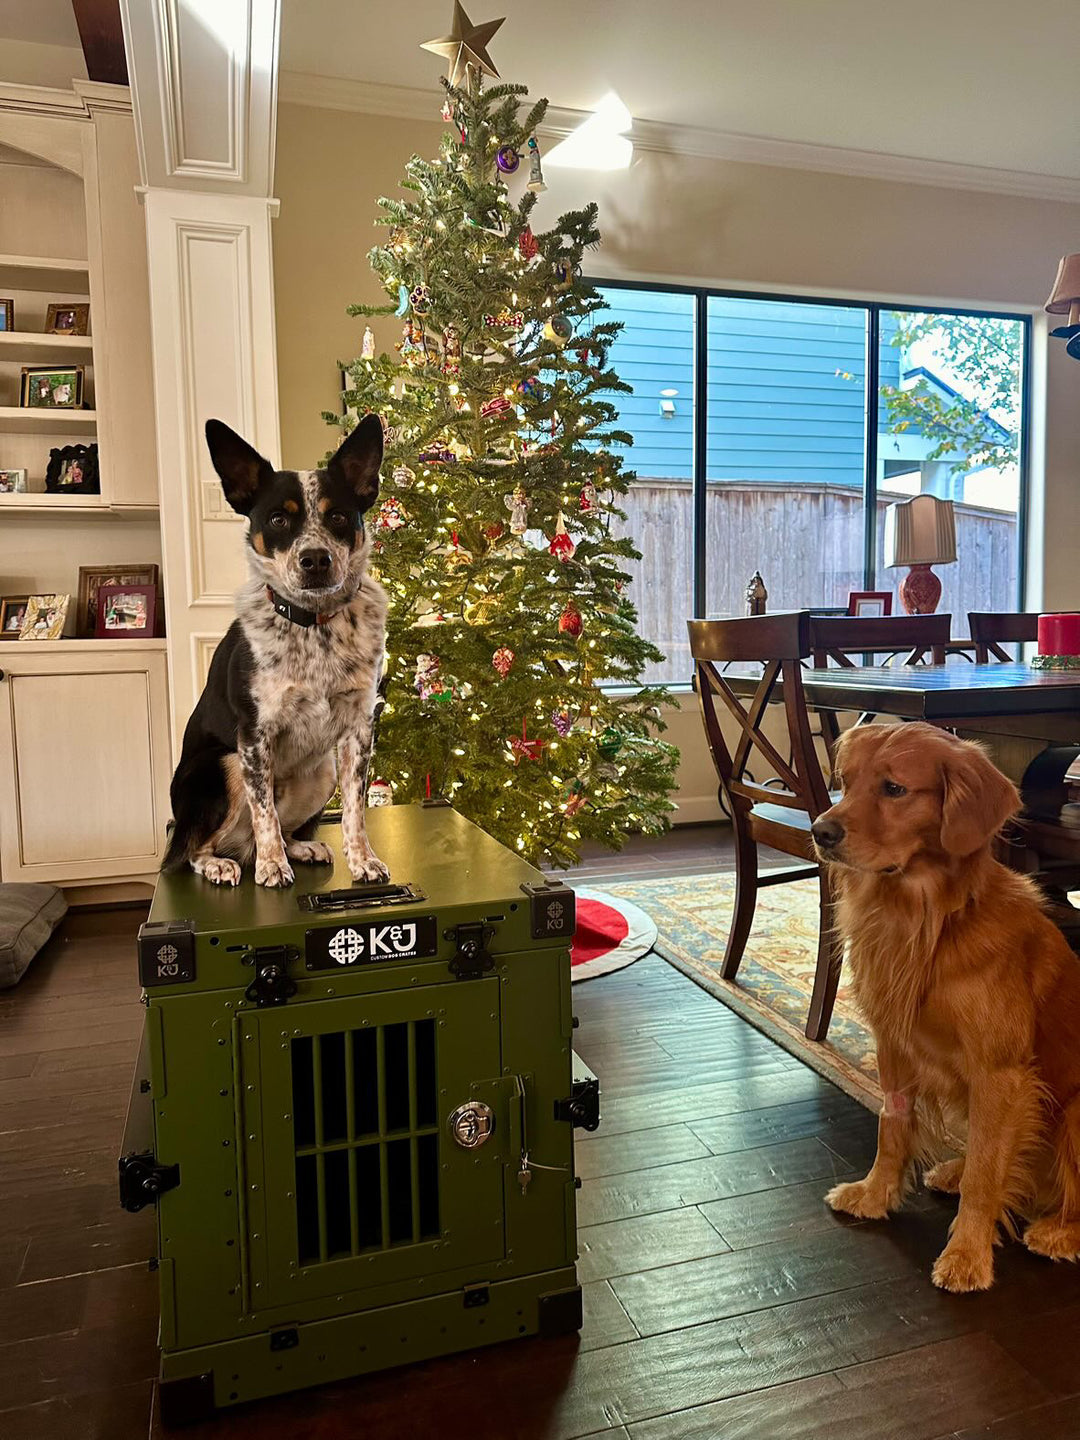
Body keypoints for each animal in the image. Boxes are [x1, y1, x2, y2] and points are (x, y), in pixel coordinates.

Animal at [162, 414, 391, 887]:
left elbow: (355, 810)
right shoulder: (254, 734)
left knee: (282, 830)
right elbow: (263, 810)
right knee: (195, 849)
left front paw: (363, 860)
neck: (314, 625)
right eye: (278, 519)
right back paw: (225, 863)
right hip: (223, 765)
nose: (316, 559)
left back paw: (300, 847)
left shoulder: (359, 727)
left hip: (322, 771)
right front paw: (271, 868)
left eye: (337, 516)